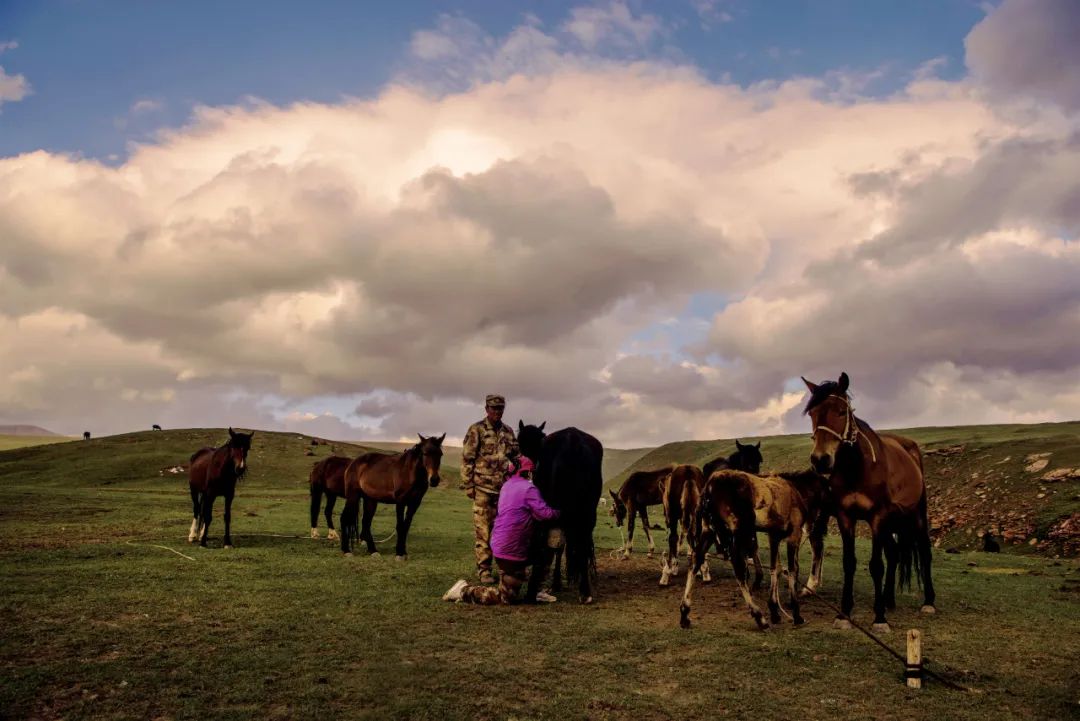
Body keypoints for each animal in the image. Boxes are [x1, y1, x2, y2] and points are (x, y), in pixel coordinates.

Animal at [334, 431, 440, 561]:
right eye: (425, 453)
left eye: (440, 454)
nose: (434, 480)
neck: (410, 472)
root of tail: (353, 464)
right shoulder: (400, 502)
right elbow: (400, 526)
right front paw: (399, 553)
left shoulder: (415, 503)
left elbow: (406, 526)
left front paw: (403, 552)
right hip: (353, 497)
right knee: (345, 518)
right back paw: (347, 551)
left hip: (370, 500)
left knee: (366, 523)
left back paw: (373, 551)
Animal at [678, 470, 829, 626]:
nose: (822, 528)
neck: (796, 490)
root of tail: (710, 486)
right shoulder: (794, 535)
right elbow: (792, 570)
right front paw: (796, 613)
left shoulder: (773, 536)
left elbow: (776, 568)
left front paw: (774, 611)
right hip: (738, 530)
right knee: (738, 567)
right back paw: (759, 616)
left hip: (709, 531)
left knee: (696, 559)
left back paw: (685, 612)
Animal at [803, 371, 937, 630]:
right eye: (812, 413)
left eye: (841, 412)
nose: (821, 460)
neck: (857, 468)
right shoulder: (846, 517)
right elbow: (849, 562)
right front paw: (844, 614)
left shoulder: (877, 517)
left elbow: (876, 566)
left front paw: (879, 618)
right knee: (894, 553)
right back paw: (888, 600)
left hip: (916, 515)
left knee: (924, 552)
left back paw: (928, 602)